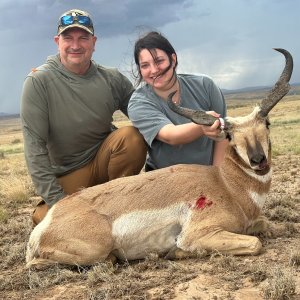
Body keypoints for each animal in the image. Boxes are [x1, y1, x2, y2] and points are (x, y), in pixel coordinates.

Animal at [25, 48, 292, 268]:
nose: (258, 160)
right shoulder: (199, 233)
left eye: (267, 124)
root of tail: (47, 221)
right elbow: (255, 243)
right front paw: (177, 252)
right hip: (95, 248)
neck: (225, 185)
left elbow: (269, 225)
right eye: (229, 135)